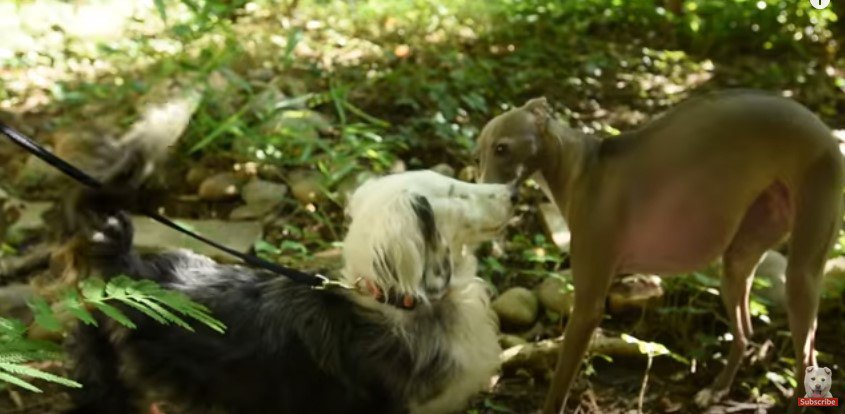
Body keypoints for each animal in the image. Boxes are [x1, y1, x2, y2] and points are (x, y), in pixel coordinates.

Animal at [474, 91, 844, 414]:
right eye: (477, 155)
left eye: (502, 148)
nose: (483, 199)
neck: (581, 169)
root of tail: (825, 132)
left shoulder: (588, 308)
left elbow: (558, 389)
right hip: (738, 261)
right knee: (747, 331)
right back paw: (716, 390)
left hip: (801, 274)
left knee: (807, 360)